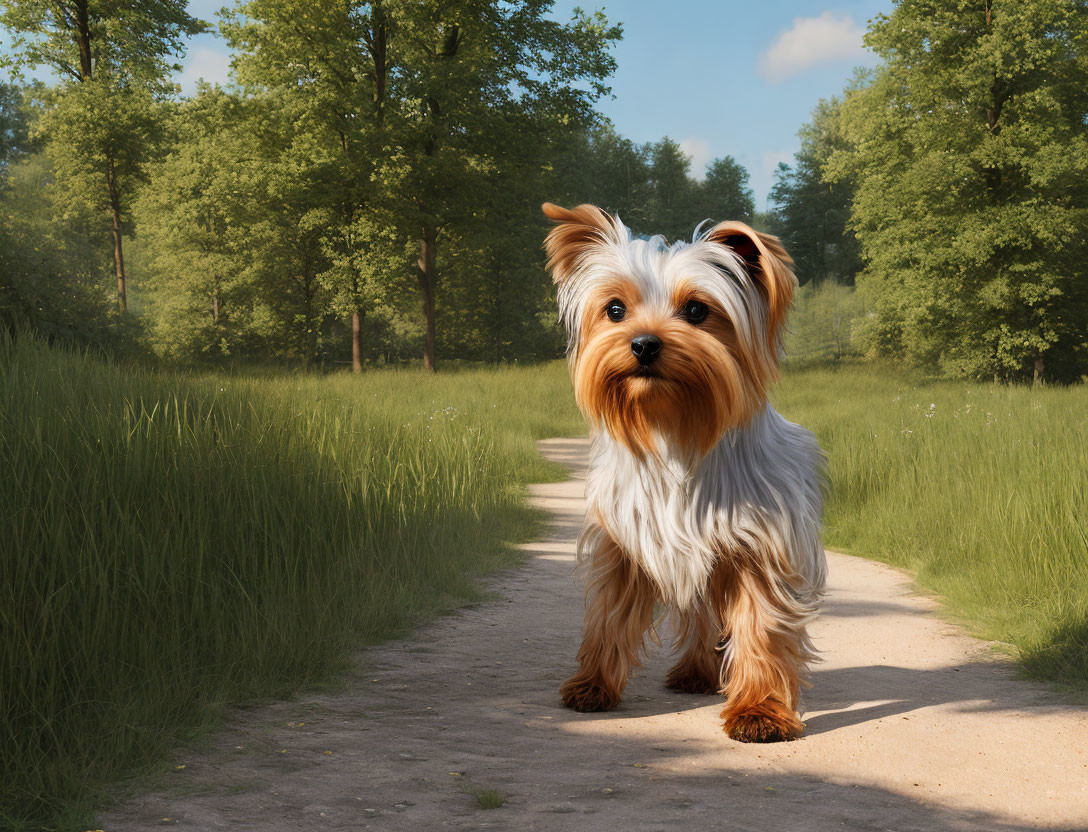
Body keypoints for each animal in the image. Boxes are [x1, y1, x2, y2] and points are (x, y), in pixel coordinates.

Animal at [539, 201, 826, 739]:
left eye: (696, 310)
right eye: (615, 309)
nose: (644, 344)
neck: (674, 427)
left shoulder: (757, 547)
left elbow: (759, 624)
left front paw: (759, 711)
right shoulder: (627, 542)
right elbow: (609, 615)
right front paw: (593, 685)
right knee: (699, 616)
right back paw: (695, 672)